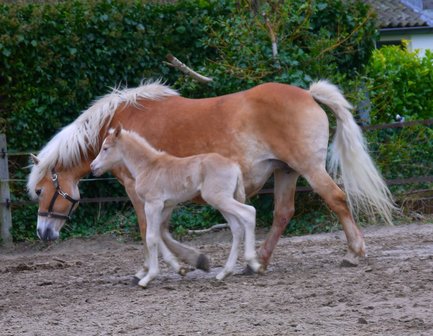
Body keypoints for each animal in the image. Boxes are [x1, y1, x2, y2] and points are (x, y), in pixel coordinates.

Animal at [89, 124, 262, 288]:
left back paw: (254, 263)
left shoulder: (153, 204)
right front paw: (179, 268)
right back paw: (224, 273)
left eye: (105, 148)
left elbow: (151, 237)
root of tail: (234, 165)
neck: (147, 167)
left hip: (220, 199)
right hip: (221, 202)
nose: (92, 166)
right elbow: (158, 234)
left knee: (249, 212)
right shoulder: (166, 206)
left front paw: (148, 278)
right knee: (236, 228)